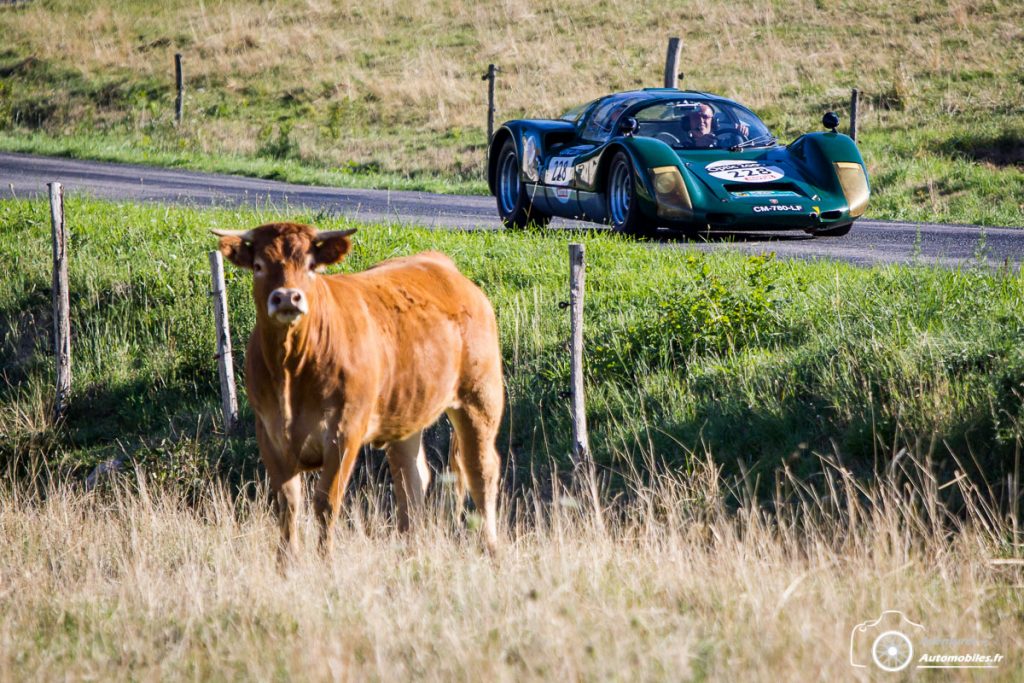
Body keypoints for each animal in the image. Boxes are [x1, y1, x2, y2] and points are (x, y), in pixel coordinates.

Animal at [212, 222, 503, 557]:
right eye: (259, 266)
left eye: (310, 265)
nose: (286, 298)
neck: (292, 368)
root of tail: (442, 264)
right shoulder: (269, 433)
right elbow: (288, 505)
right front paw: (286, 563)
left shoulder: (344, 432)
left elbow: (326, 503)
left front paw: (325, 561)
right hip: (406, 410)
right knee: (412, 478)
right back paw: (409, 548)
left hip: (480, 399)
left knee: (480, 470)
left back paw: (490, 547)